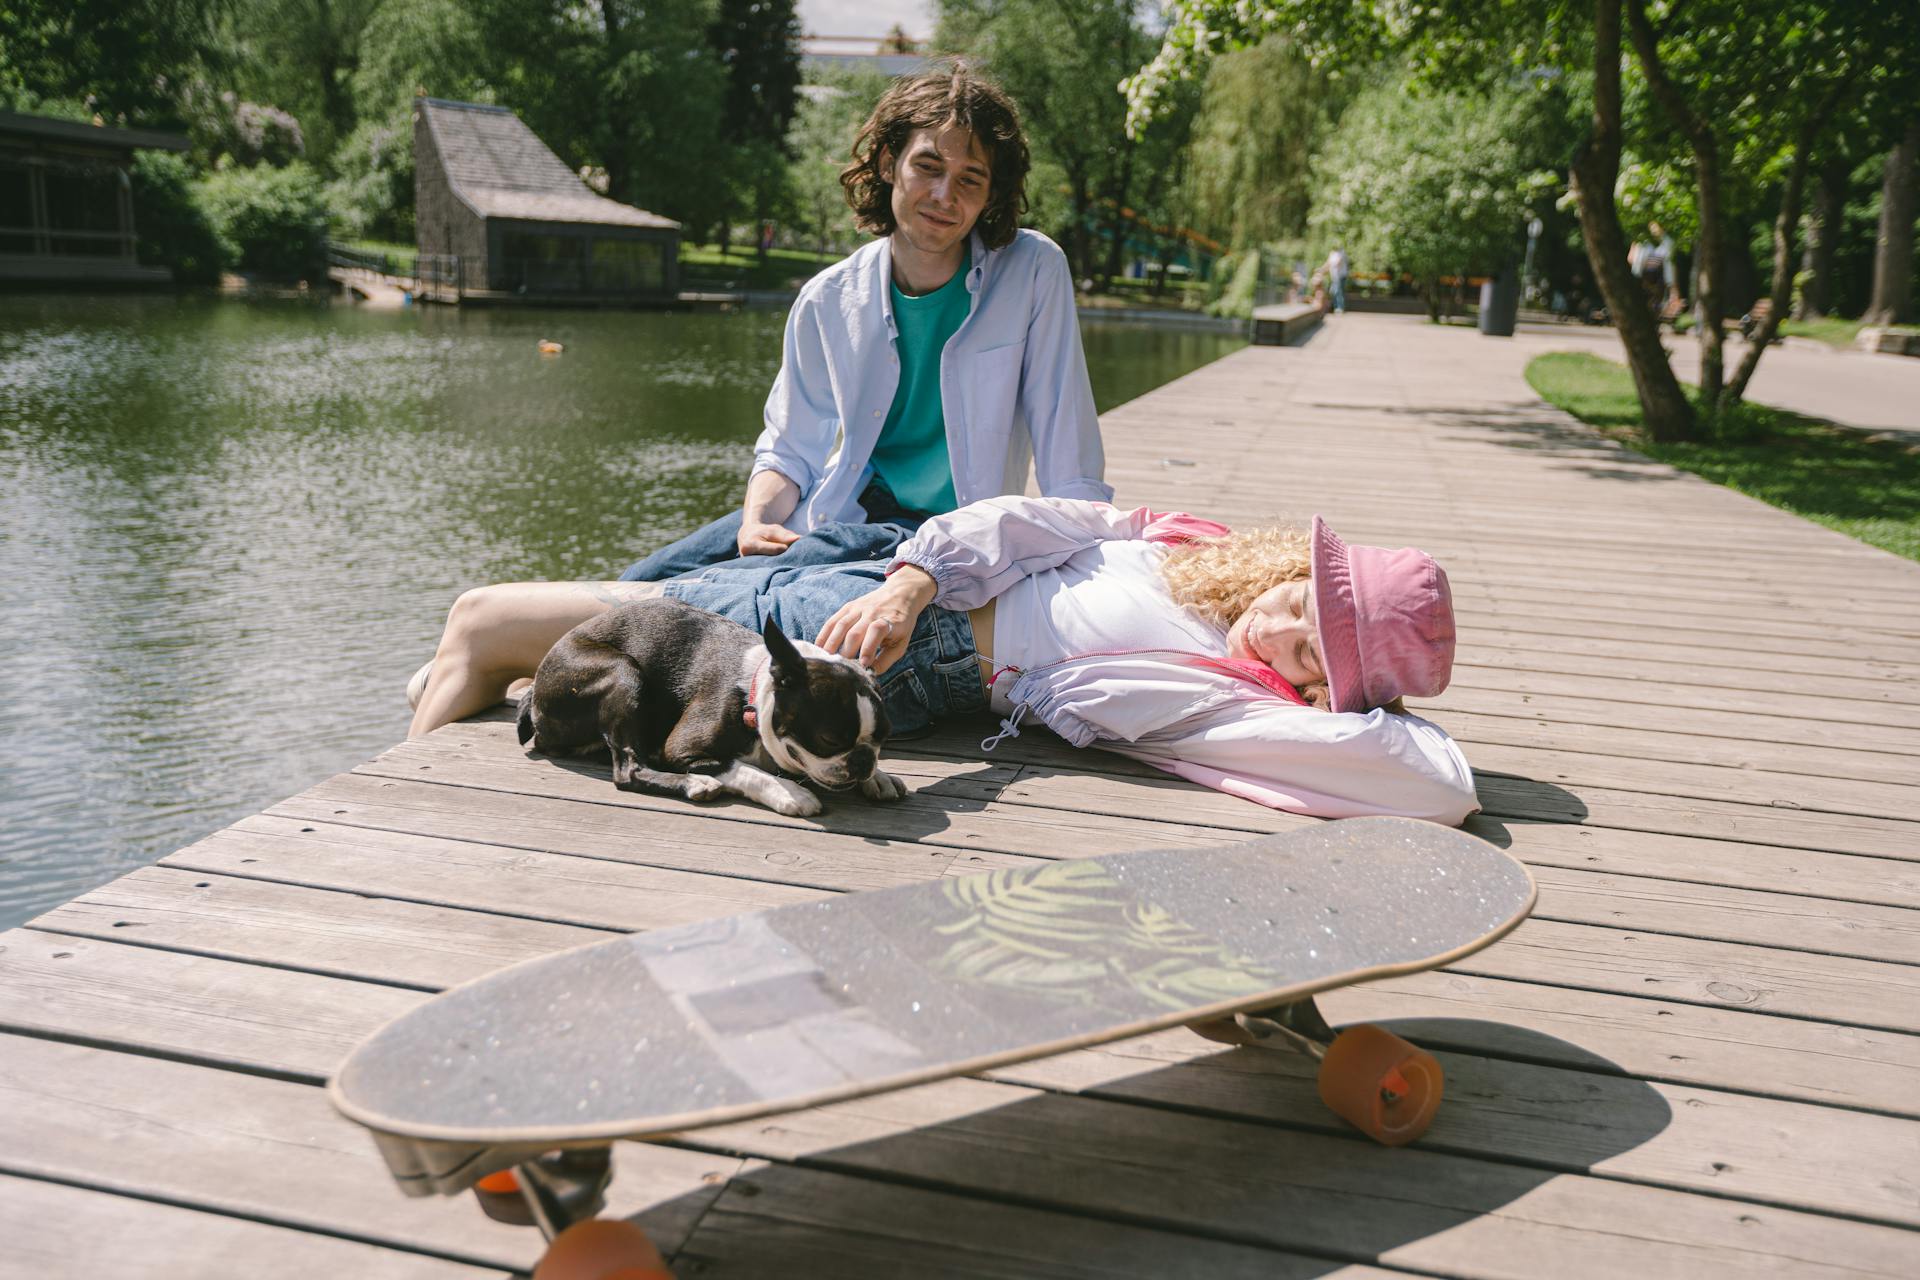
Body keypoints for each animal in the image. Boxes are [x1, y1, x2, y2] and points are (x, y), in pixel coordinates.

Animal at [518, 602, 906, 821]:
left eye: (883, 738)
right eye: (829, 740)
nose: (861, 761)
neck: (754, 697)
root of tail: (535, 693)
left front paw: (879, 775)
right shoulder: (683, 748)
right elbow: (743, 769)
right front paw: (789, 793)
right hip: (623, 672)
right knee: (628, 769)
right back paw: (694, 784)